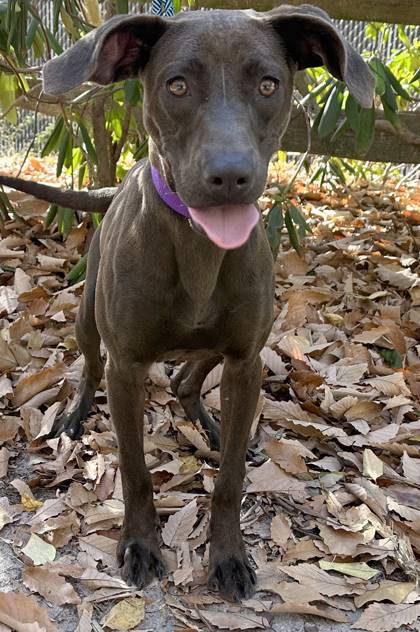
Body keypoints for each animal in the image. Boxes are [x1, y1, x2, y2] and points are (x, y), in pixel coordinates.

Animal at [1, 4, 374, 600]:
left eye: (268, 84)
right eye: (176, 85)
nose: (230, 175)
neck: (200, 247)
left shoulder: (245, 360)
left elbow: (229, 481)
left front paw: (228, 555)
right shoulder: (127, 367)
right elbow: (134, 469)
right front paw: (141, 545)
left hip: (234, 345)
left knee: (185, 378)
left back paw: (213, 424)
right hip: (87, 317)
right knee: (91, 365)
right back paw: (77, 413)